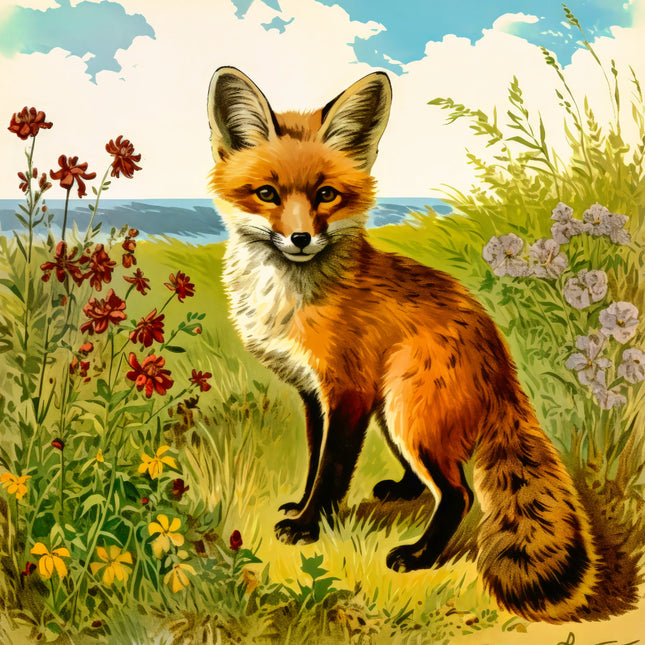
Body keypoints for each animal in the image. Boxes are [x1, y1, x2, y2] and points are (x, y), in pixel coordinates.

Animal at [206, 66, 599, 623]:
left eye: (326, 195)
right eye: (266, 193)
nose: (301, 239)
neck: (289, 300)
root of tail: (501, 361)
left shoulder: (346, 392)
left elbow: (331, 470)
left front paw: (307, 527)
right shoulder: (313, 393)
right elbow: (314, 461)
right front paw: (301, 507)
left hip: (407, 412)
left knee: (458, 494)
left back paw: (420, 555)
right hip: (393, 412)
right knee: (430, 480)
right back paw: (402, 491)